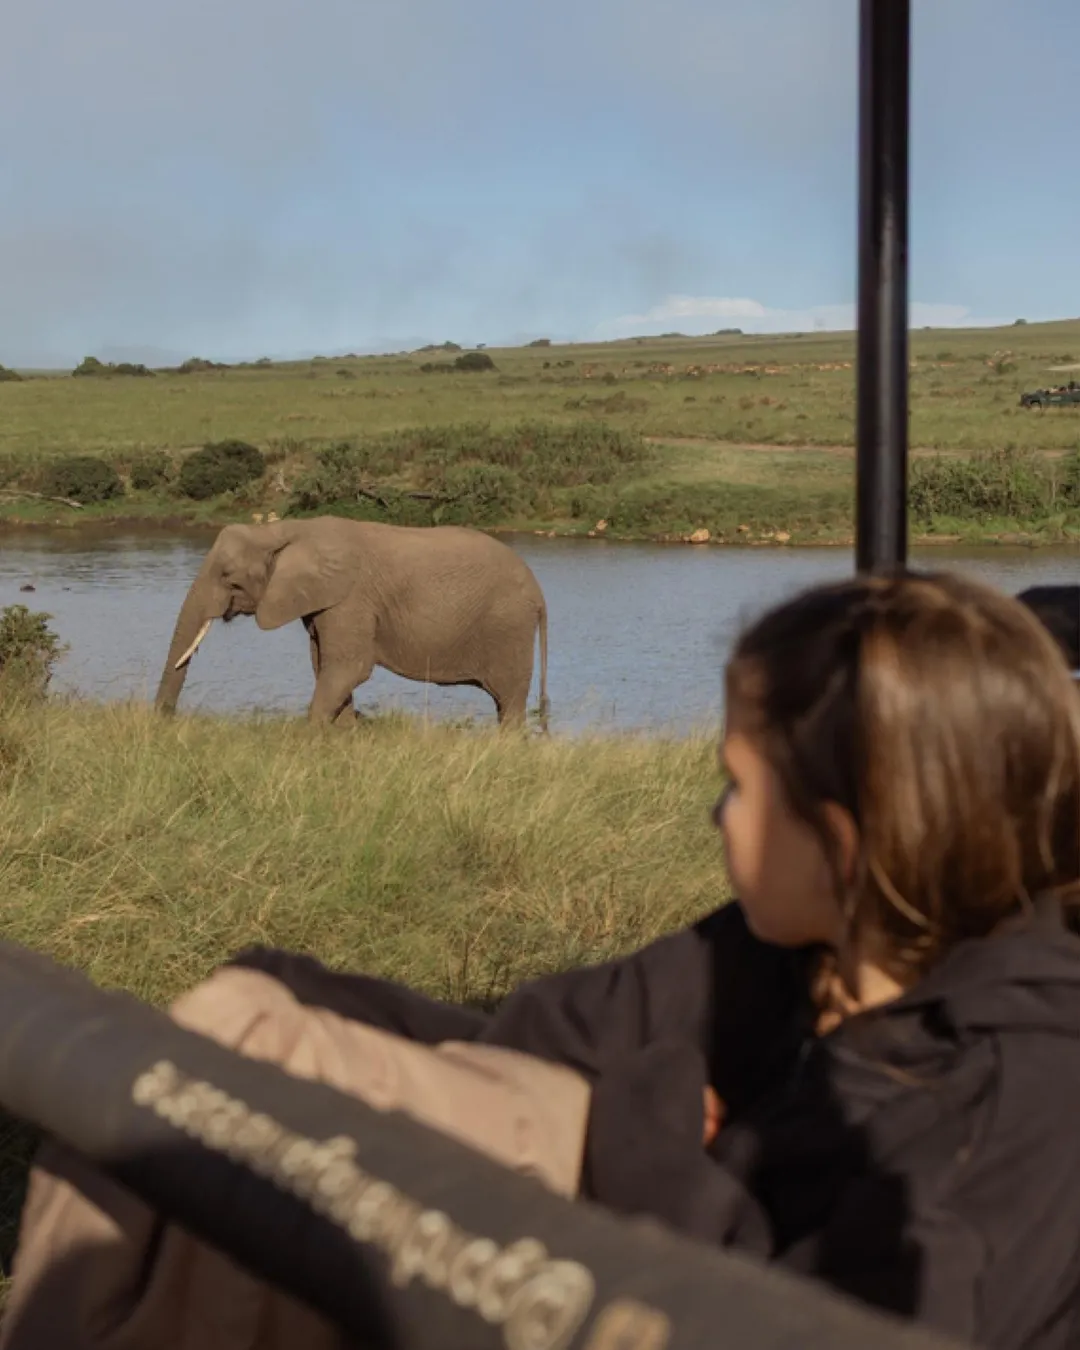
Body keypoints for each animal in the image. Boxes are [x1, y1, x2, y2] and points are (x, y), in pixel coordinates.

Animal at [154, 517, 549, 728]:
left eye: (228, 577)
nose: (164, 719)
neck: (287, 530)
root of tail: (539, 592)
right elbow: (325, 667)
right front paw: (344, 736)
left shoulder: (350, 600)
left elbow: (349, 668)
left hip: (509, 625)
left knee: (509, 701)